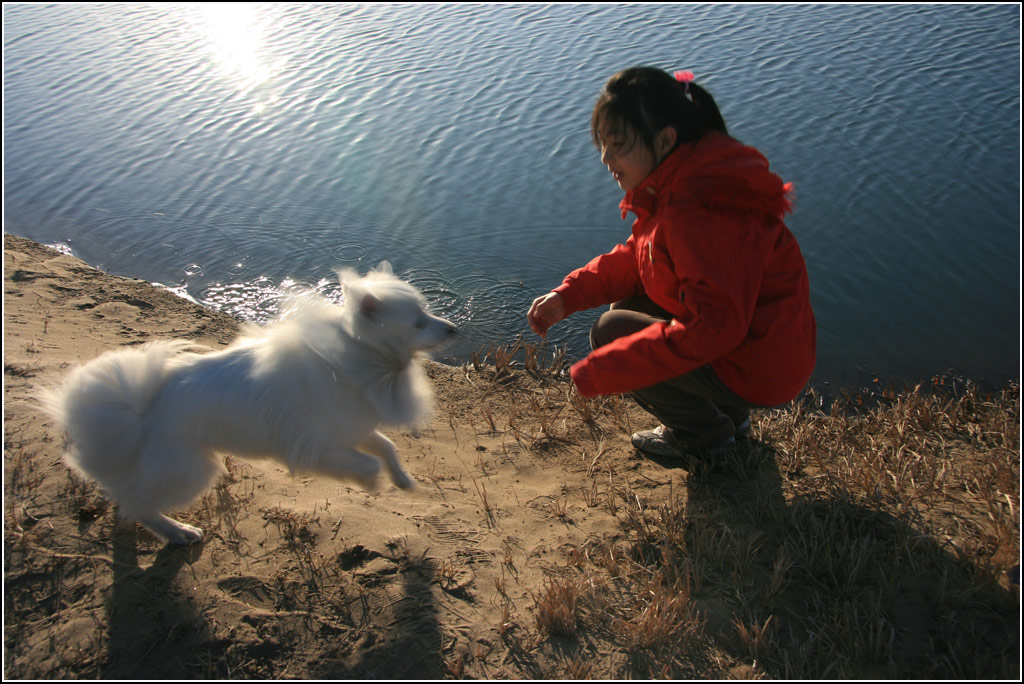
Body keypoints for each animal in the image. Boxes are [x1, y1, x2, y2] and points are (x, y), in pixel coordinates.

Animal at [39, 262, 456, 544]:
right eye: (418, 323)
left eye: (426, 313)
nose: (453, 330)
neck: (360, 357)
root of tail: (135, 411)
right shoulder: (318, 448)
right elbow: (369, 461)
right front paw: (371, 483)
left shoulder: (351, 429)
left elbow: (386, 447)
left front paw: (402, 480)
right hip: (188, 472)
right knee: (139, 506)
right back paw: (179, 533)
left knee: (128, 497)